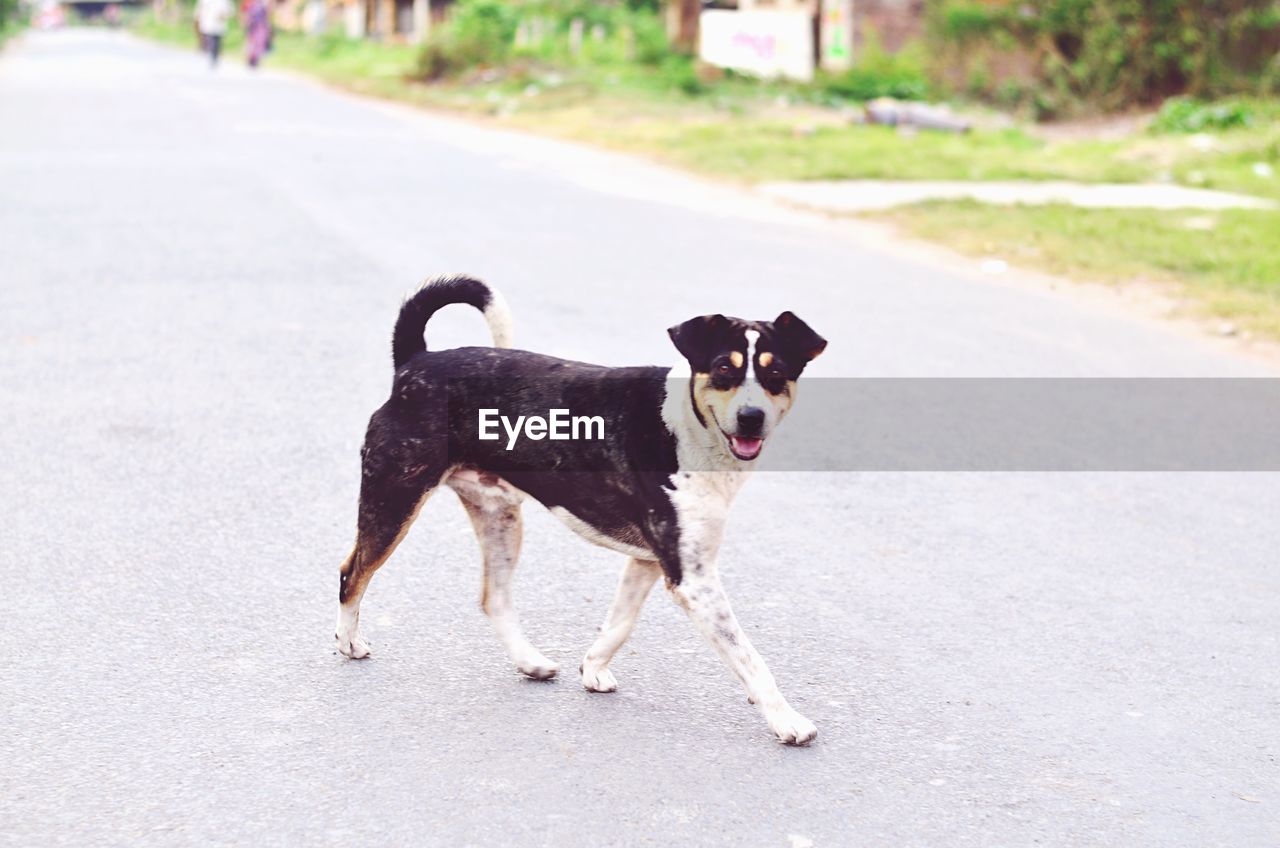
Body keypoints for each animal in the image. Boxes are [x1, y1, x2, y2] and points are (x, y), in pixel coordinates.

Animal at [335, 277, 824, 742]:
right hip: (394, 499)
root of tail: (415, 362)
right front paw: (787, 721)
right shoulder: (692, 578)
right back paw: (348, 643)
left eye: (776, 373)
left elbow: (619, 624)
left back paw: (530, 662)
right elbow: (749, 656)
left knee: (494, 598)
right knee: (352, 574)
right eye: (724, 369)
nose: (751, 417)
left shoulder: (649, 561)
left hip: (499, 517)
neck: (689, 428)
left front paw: (592, 668)